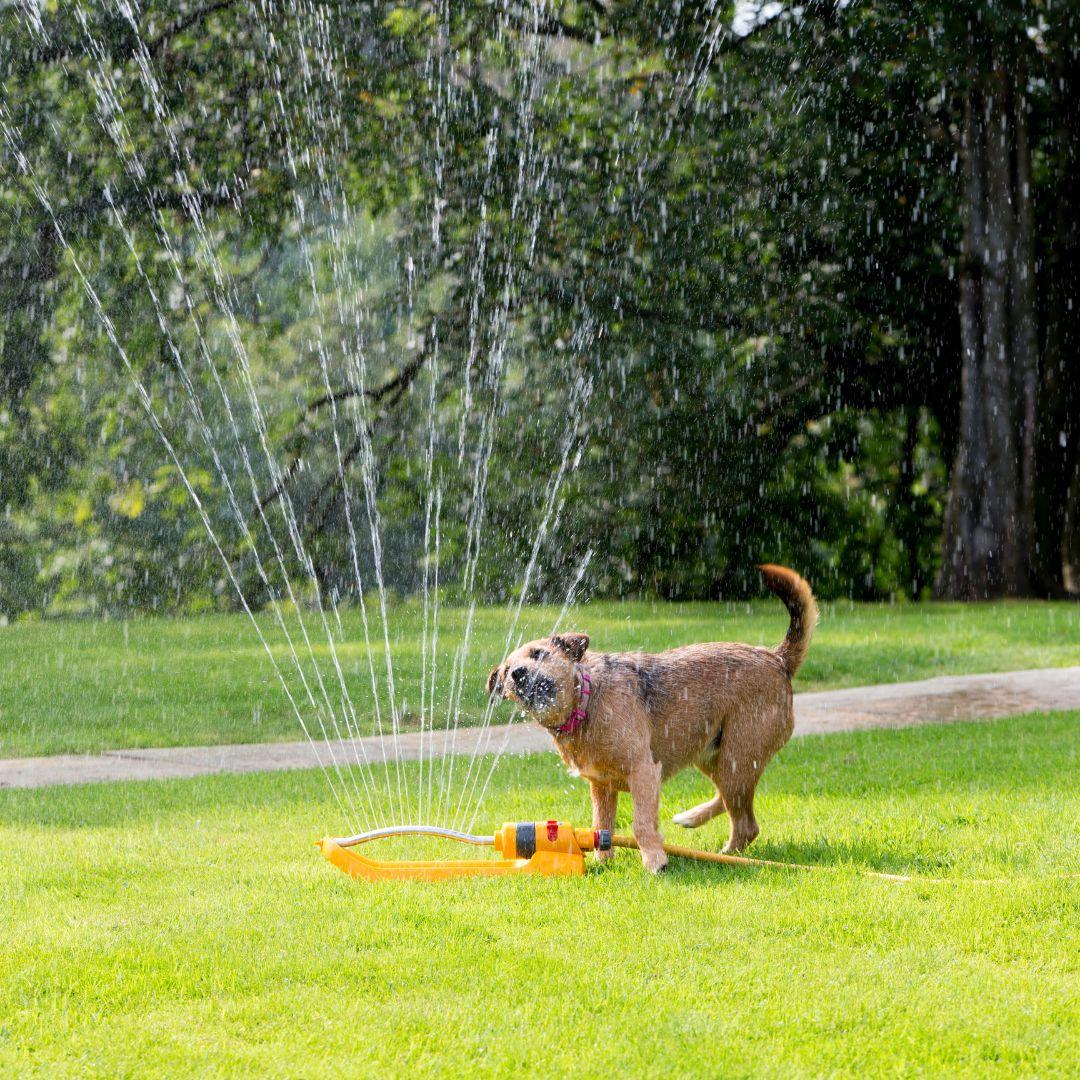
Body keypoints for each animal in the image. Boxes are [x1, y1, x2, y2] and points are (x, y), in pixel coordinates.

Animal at [486, 570, 812, 872]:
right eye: (506, 670)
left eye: (538, 653)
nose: (517, 674)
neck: (585, 704)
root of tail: (777, 659)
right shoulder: (601, 785)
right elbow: (601, 825)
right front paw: (604, 862)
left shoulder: (642, 770)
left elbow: (641, 824)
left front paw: (655, 862)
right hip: (711, 755)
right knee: (734, 805)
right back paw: (692, 819)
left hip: (737, 757)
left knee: (745, 823)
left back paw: (726, 856)